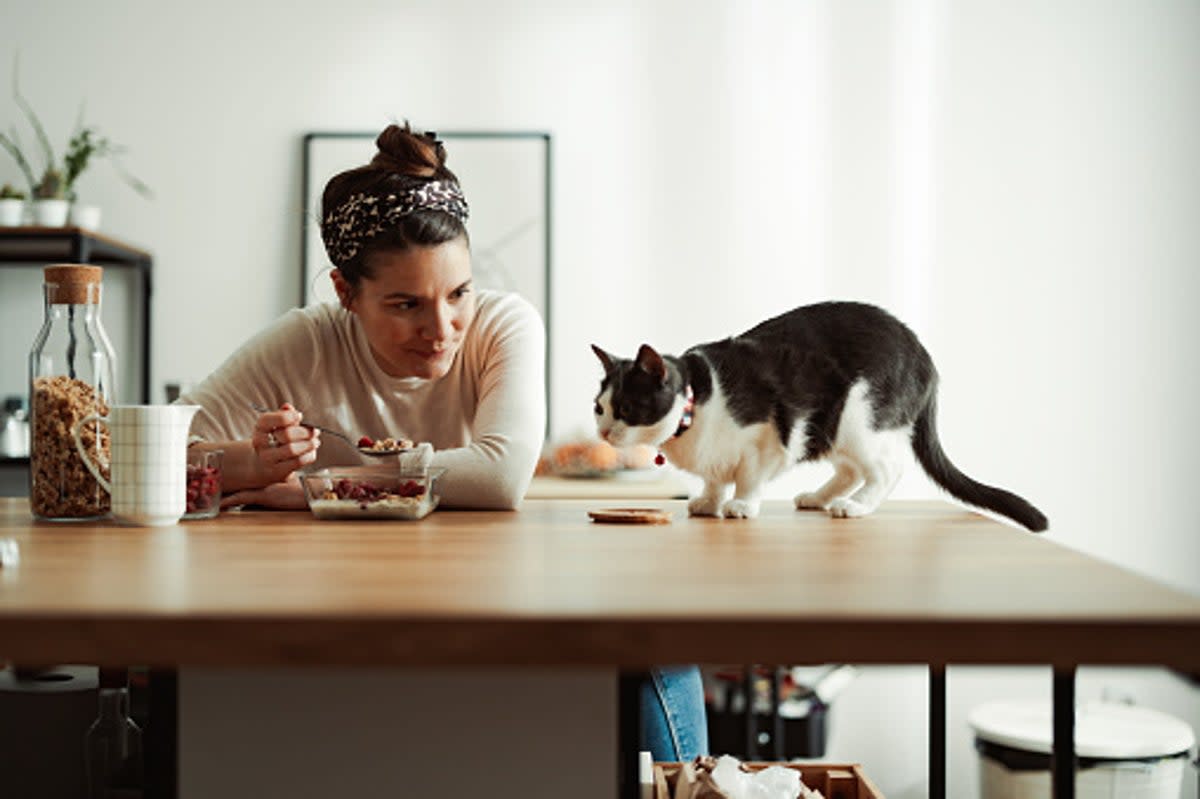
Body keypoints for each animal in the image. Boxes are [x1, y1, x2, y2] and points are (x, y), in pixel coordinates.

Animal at [595, 302, 1046, 532]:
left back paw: (855, 506)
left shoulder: (765, 441)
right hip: (831, 428)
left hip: (858, 417)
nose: (604, 432)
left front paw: (741, 505)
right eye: (598, 407)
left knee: (887, 469)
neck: (697, 402)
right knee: (849, 469)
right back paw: (819, 498)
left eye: (627, 409)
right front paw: (709, 500)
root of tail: (925, 358)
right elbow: (715, 475)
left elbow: (748, 476)